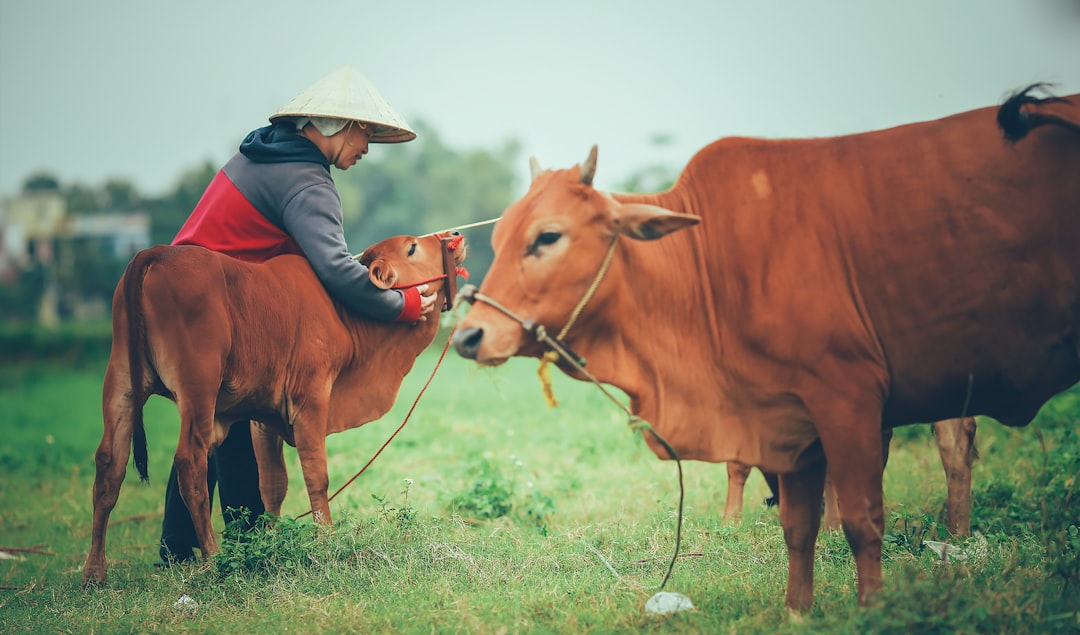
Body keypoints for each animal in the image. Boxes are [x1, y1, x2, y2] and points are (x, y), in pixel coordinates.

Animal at [83, 232, 464, 587]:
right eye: (412, 247)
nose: (455, 236)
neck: (345, 317)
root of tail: (155, 254)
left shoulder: (264, 418)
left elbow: (272, 484)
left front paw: (272, 541)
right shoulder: (311, 399)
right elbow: (316, 476)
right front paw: (326, 541)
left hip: (121, 382)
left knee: (109, 465)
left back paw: (94, 572)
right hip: (198, 387)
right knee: (190, 464)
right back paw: (213, 560)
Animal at [453, 86, 1080, 609]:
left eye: (548, 236)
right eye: (497, 237)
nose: (467, 334)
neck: (705, 265)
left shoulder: (846, 396)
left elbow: (862, 518)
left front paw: (871, 609)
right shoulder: (782, 416)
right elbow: (796, 526)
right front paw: (797, 611)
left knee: (953, 442)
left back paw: (956, 535)